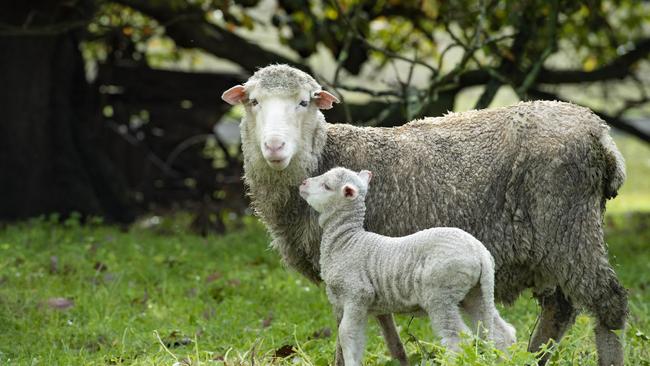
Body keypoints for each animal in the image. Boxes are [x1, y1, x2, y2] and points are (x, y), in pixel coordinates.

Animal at [296, 167, 512, 364]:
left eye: (326, 186)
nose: (303, 183)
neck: (346, 241)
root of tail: (480, 252)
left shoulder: (357, 294)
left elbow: (347, 336)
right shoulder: (361, 304)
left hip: (441, 293)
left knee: (457, 339)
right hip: (475, 292)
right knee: (501, 332)